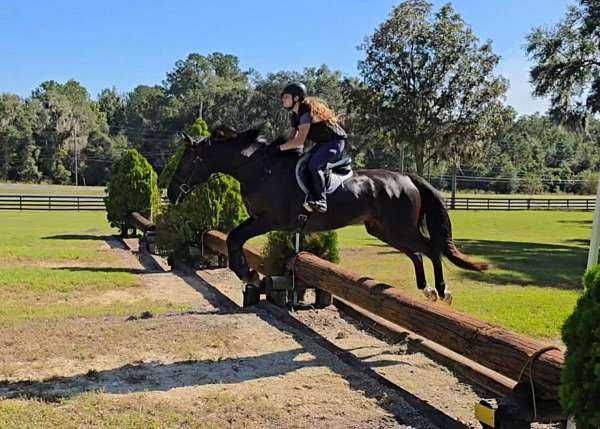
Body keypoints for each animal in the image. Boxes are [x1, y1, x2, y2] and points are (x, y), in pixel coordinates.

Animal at [168, 127, 488, 300]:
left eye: (187, 162)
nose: (171, 193)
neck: (260, 169)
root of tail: (407, 178)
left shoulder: (270, 220)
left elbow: (234, 238)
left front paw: (249, 275)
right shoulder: (260, 220)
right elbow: (233, 238)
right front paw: (249, 274)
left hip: (400, 228)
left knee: (431, 249)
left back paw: (442, 291)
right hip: (383, 230)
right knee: (418, 253)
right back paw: (426, 290)